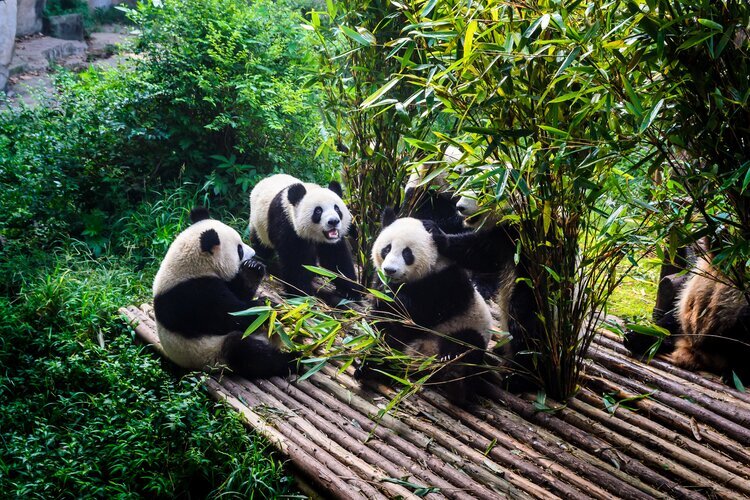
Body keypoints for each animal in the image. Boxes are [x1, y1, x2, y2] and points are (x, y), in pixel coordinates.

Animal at [152, 207, 297, 379]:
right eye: (239, 249)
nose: (253, 252)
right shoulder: (192, 296)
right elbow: (231, 317)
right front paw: (263, 307)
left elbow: (240, 293)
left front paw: (252, 270)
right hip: (213, 352)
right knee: (245, 352)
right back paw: (292, 360)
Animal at [249, 174, 359, 303]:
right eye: (318, 211)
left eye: (337, 208)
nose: (333, 221)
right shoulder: (288, 225)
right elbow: (295, 263)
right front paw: (301, 294)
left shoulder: (332, 241)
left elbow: (337, 260)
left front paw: (351, 292)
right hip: (259, 224)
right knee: (260, 245)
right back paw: (256, 262)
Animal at [360, 209, 493, 404]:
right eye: (387, 248)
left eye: (407, 253)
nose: (390, 270)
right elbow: (384, 323)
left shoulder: (447, 283)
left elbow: (420, 314)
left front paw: (393, 299)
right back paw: (372, 368)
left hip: (464, 328)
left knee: (466, 346)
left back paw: (456, 382)